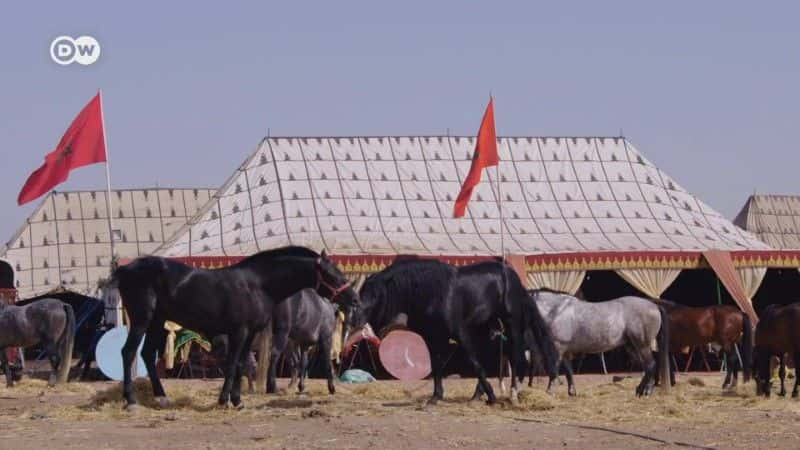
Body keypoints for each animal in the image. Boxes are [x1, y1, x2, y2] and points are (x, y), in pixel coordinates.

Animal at [111, 246, 354, 408]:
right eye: (332, 274)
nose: (353, 299)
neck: (258, 285)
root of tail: (125, 269)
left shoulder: (249, 333)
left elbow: (240, 365)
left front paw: (236, 400)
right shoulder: (239, 331)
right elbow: (232, 365)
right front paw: (224, 400)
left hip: (156, 321)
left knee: (146, 354)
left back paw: (161, 396)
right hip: (142, 319)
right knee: (128, 352)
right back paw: (131, 400)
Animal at [346, 256, 560, 404]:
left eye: (375, 294)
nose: (354, 320)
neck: (433, 293)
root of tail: (513, 277)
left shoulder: (460, 333)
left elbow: (473, 363)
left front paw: (492, 397)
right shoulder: (432, 338)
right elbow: (437, 366)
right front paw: (435, 397)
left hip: (511, 324)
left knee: (517, 357)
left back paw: (514, 394)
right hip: (486, 328)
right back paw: (478, 396)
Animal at [528, 290, 672, 396]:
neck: (557, 310)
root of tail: (654, 305)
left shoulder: (558, 347)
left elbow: (554, 370)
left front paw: (549, 392)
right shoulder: (565, 351)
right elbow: (569, 371)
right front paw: (572, 392)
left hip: (642, 345)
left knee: (651, 365)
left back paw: (644, 391)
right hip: (633, 347)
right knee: (648, 366)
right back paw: (643, 389)